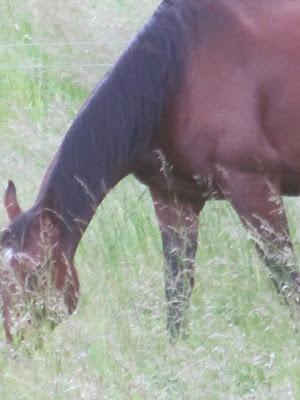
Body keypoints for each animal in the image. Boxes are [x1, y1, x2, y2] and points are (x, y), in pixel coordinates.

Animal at [1, 0, 300, 342]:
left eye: (34, 274)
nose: (12, 340)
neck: (178, 73)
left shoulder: (253, 187)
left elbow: (285, 277)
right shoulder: (173, 199)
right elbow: (177, 289)